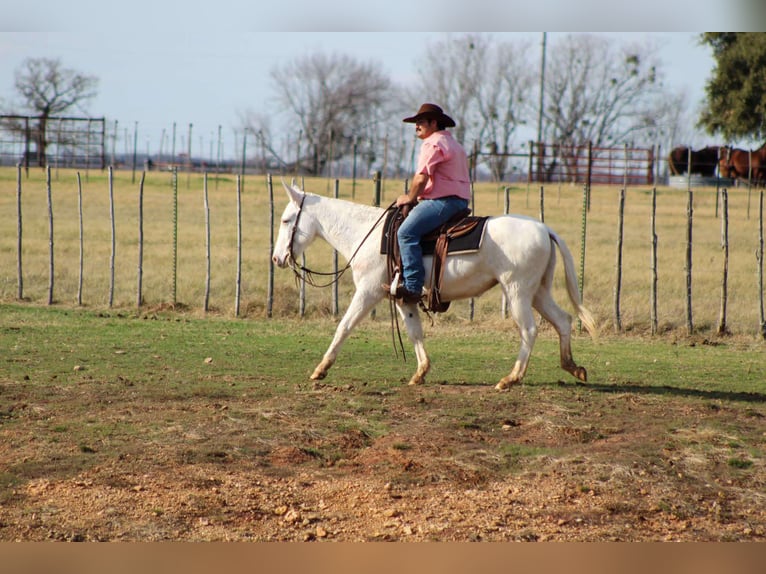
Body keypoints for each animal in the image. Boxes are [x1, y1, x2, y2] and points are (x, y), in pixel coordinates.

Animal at [272, 182, 600, 394]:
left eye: (287, 219)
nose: (277, 258)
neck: (369, 234)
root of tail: (544, 228)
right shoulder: (403, 298)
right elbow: (415, 332)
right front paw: (420, 372)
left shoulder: (368, 292)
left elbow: (344, 326)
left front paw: (320, 369)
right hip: (538, 292)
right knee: (563, 321)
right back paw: (573, 367)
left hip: (517, 292)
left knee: (529, 330)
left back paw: (510, 379)